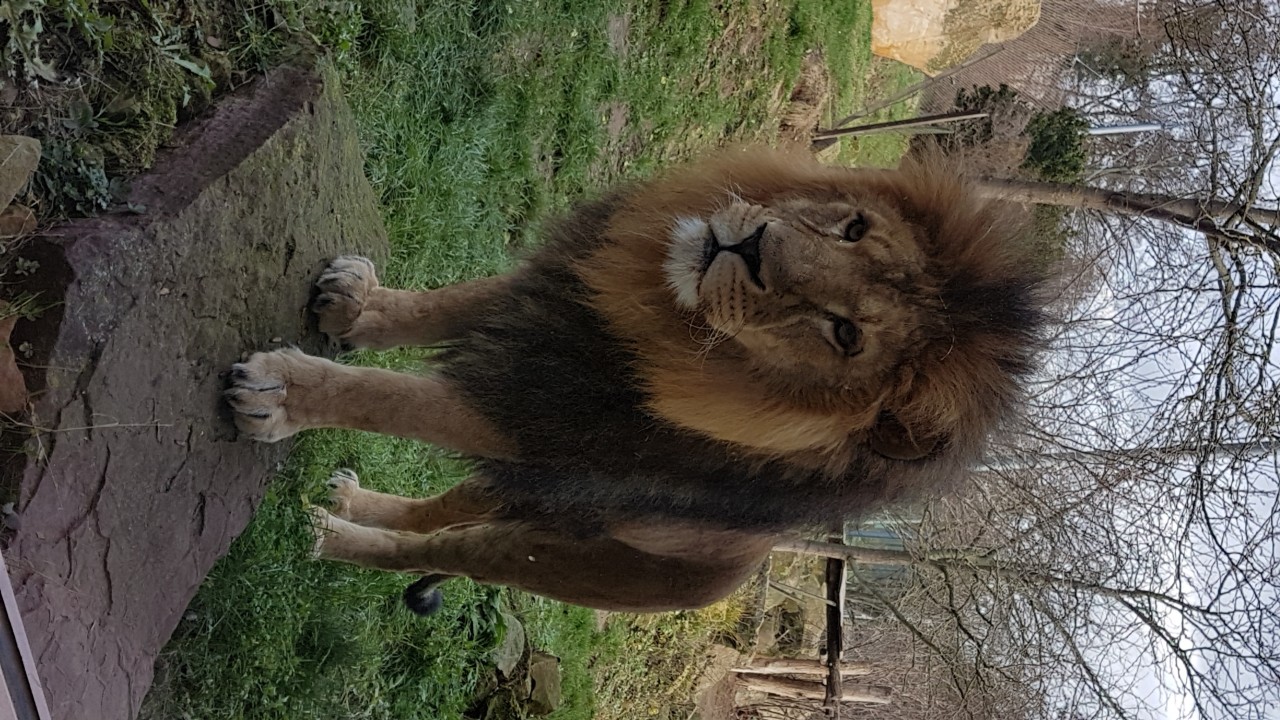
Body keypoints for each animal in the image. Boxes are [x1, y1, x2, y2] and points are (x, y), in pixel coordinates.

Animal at [222, 146, 1039, 609]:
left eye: (847, 335)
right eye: (854, 228)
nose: (750, 246)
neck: (665, 338)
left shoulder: (532, 416)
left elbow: (389, 399)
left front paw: (281, 392)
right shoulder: (562, 310)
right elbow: (443, 307)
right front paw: (355, 305)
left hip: (551, 555)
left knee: (438, 549)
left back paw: (332, 536)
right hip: (542, 491)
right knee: (440, 511)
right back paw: (352, 501)